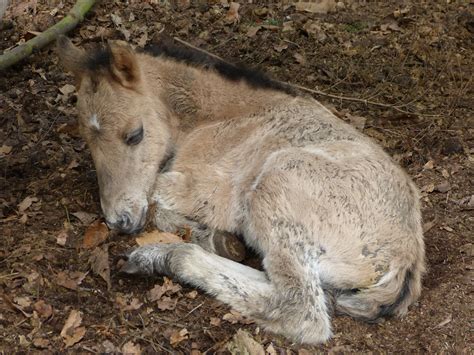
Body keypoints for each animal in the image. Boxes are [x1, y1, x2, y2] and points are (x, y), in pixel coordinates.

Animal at [57, 36, 424, 344]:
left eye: (135, 135)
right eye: (87, 141)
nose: (119, 220)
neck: (219, 116)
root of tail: (405, 260)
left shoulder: (210, 190)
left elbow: (156, 199)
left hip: (278, 181)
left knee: (301, 311)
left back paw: (164, 256)